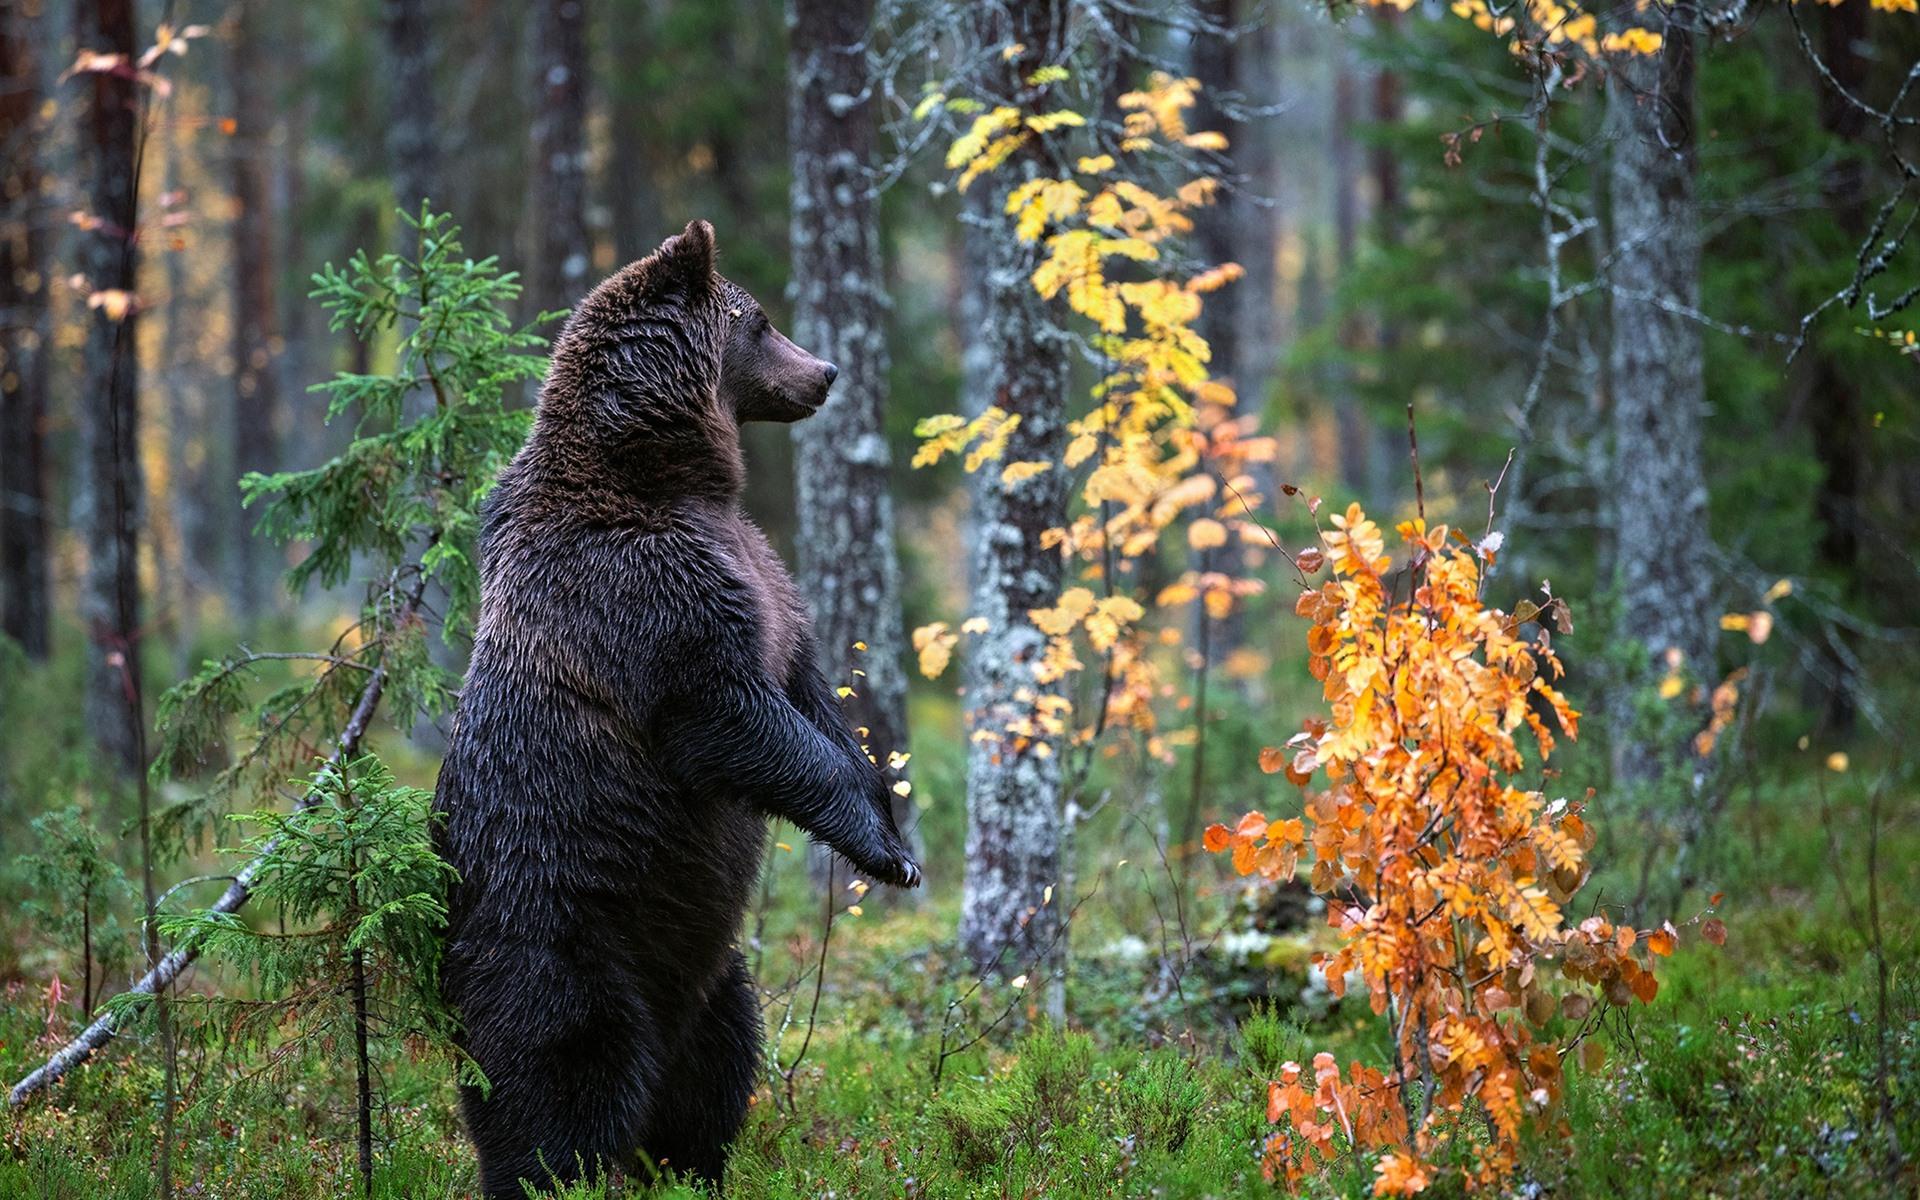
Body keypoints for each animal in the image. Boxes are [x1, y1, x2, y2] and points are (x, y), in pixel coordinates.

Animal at [432, 219, 921, 1199]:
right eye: (760, 320)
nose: (826, 372)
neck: (670, 476)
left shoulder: (766, 579)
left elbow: (810, 698)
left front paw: (889, 820)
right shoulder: (645, 596)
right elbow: (733, 717)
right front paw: (885, 851)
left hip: (709, 966)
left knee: (719, 1062)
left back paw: (690, 1163)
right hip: (558, 934)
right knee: (560, 1077)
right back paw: (557, 1170)